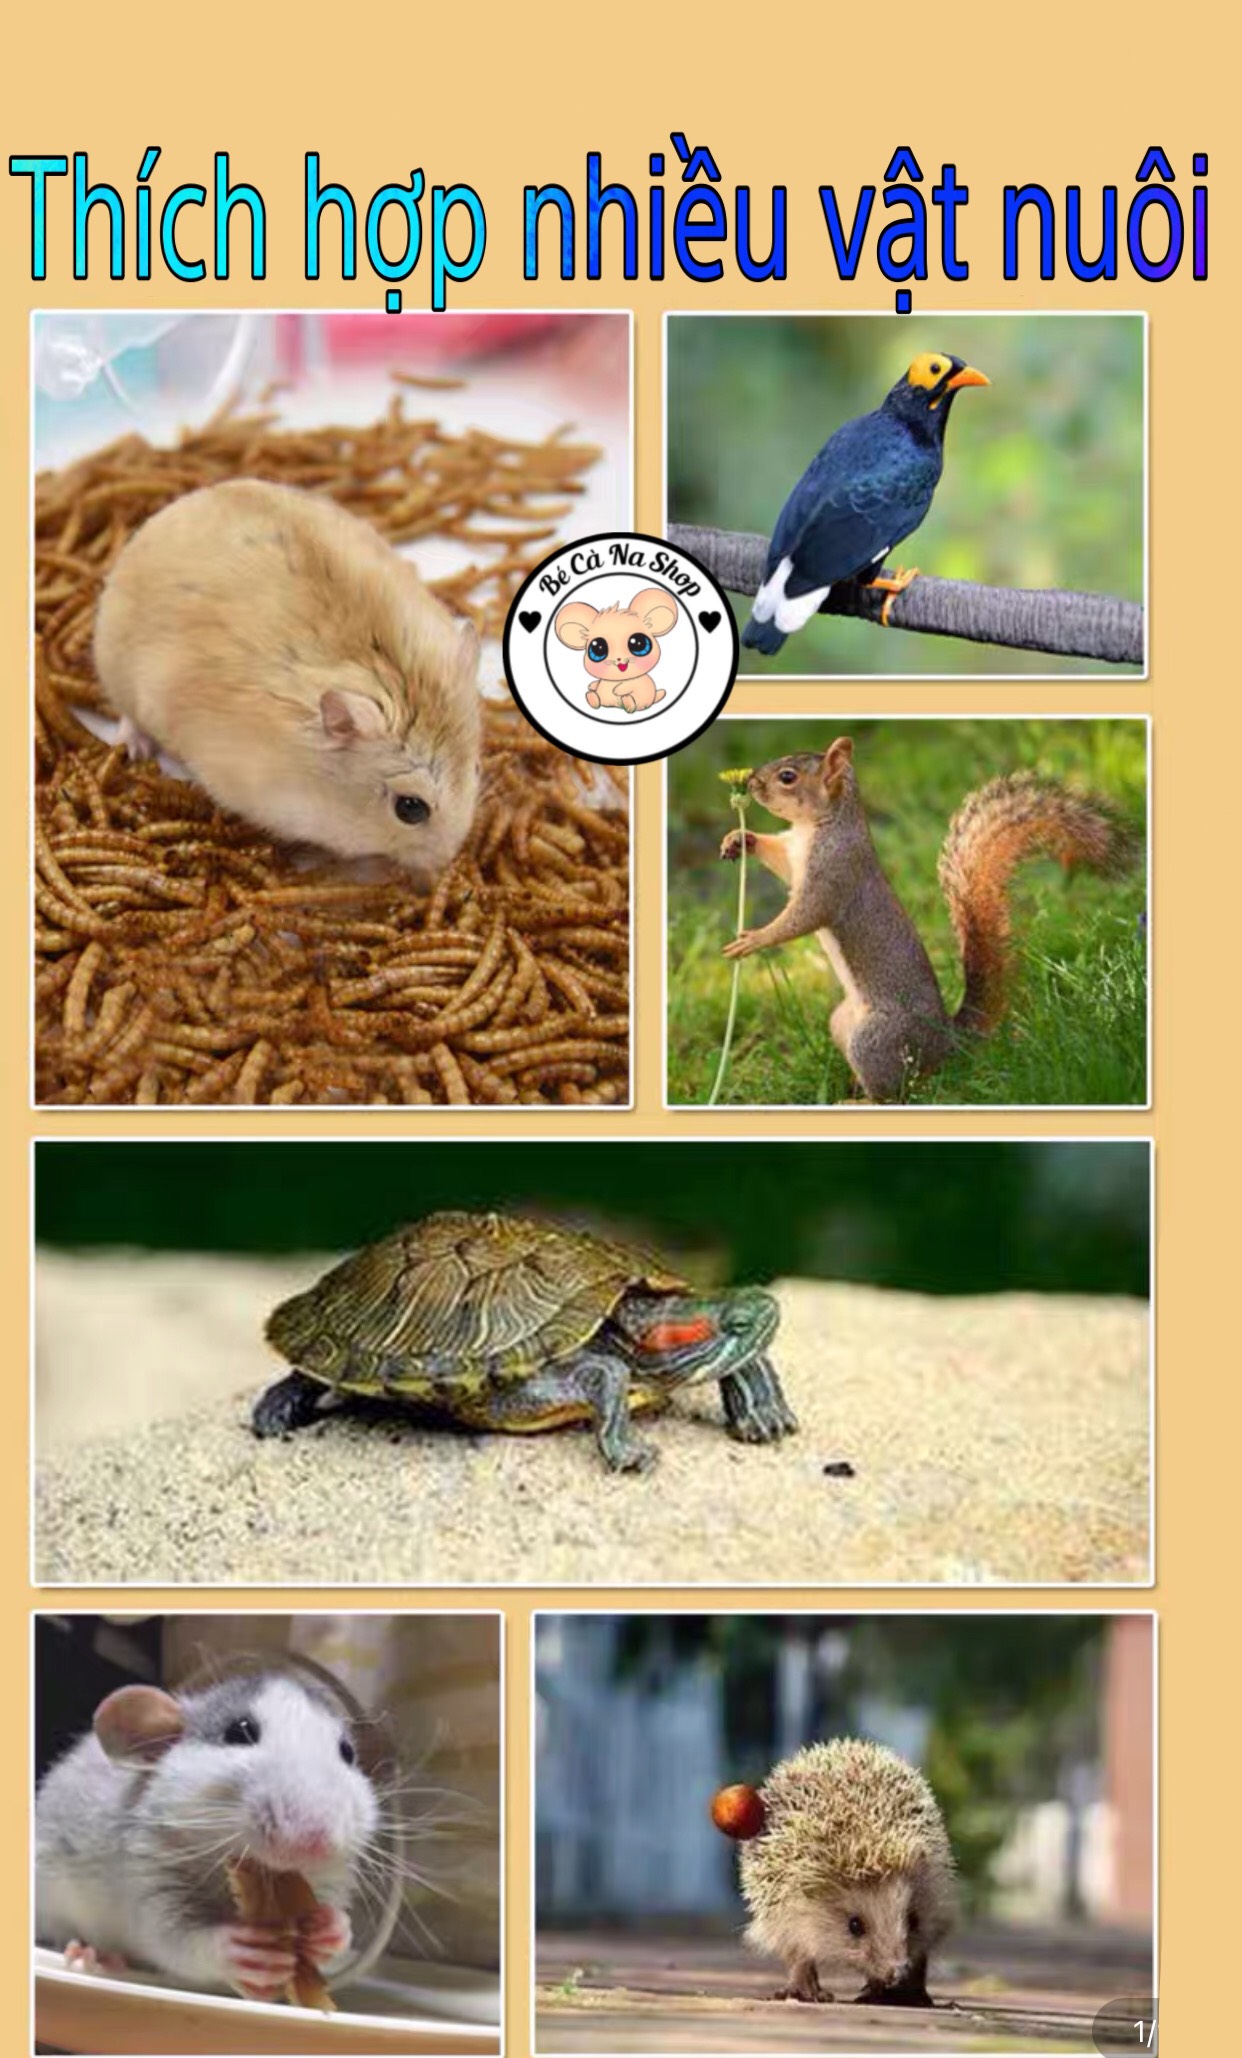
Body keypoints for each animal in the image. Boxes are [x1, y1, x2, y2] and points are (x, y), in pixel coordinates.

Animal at [36, 1671, 379, 2000]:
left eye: (347, 1752)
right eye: (239, 1732)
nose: (313, 1841)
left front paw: (334, 1928)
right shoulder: (148, 1865)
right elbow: (167, 1936)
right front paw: (231, 1950)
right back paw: (92, 1953)